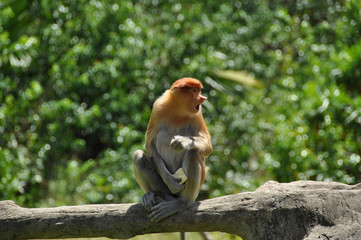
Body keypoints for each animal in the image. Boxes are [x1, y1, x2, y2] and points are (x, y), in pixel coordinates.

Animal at [132, 78, 211, 222]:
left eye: (199, 90)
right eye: (194, 91)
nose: (203, 98)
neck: (178, 110)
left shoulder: (198, 114)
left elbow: (207, 146)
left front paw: (183, 141)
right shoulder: (157, 108)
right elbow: (150, 145)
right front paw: (170, 180)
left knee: (194, 153)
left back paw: (182, 203)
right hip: (165, 189)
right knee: (138, 156)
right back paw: (152, 195)